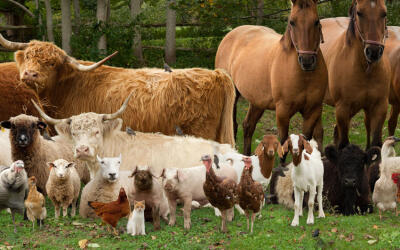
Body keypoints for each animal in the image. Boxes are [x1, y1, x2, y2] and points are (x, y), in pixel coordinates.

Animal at [216, 0, 328, 156]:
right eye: (292, 22)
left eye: (316, 21)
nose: (307, 61)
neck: (304, 76)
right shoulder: (282, 112)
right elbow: (283, 145)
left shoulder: (313, 111)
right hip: (233, 95)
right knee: (233, 126)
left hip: (257, 101)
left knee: (248, 126)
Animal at [318, 0, 390, 149]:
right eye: (359, 13)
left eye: (384, 13)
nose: (373, 52)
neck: (365, 70)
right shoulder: (342, 109)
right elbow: (344, 143)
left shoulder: (380, 107)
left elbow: (375, 143)